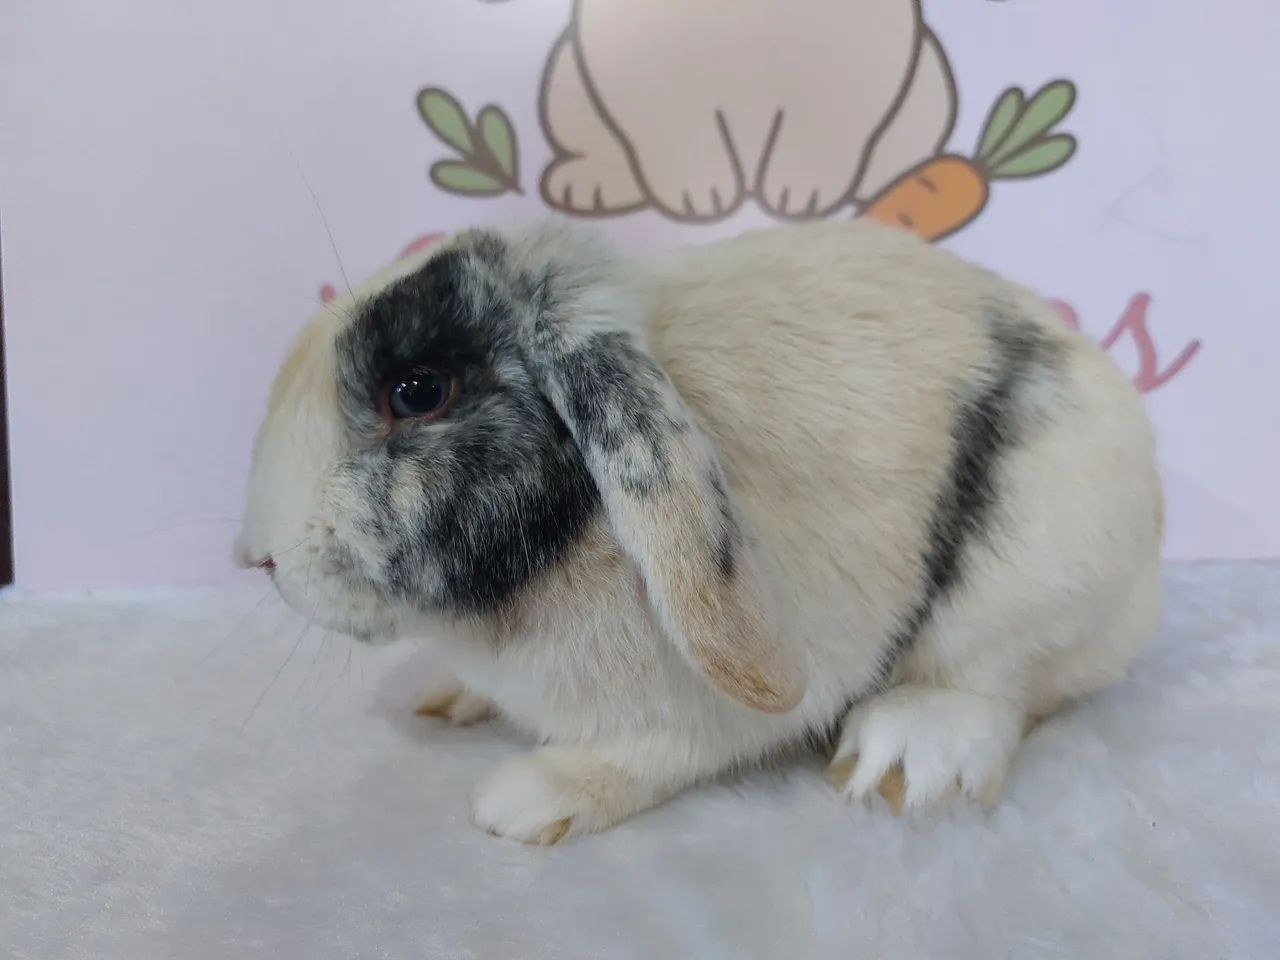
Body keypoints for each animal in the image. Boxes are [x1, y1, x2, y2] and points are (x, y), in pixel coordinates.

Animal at [235, 218, 1163, 844]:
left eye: (418, 390)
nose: (256, 556)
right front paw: (445, 696)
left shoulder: (696, 720)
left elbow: (643, 758)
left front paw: (525, 801)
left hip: (1035, 576)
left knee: (1003, 686)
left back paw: (902, 758)